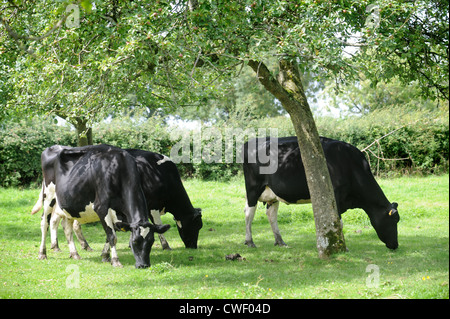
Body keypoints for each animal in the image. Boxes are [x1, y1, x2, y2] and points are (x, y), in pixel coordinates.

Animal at [30, 146, 171, 268]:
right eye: (135, 241)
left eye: (151, 242)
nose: (144, 265)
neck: (119, 170)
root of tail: (53, 147)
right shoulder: (101, 208)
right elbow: (112, 237)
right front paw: (115, 261)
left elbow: (110, 235)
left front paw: (105, 256)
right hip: (49, 196)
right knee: (45, 222)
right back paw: (42, 254)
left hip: (68, 205)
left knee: (66, 227)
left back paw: (75, 254)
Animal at [244, 136, 400, 251]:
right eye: (394, 220)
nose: (395, 245)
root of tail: (251, 141)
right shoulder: (335, 195)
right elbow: (338, 222)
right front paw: (342, 247)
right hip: (253, 187)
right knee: (249, 212)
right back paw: (250, 241)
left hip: (272, 193)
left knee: (271, 214)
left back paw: (280, 241)